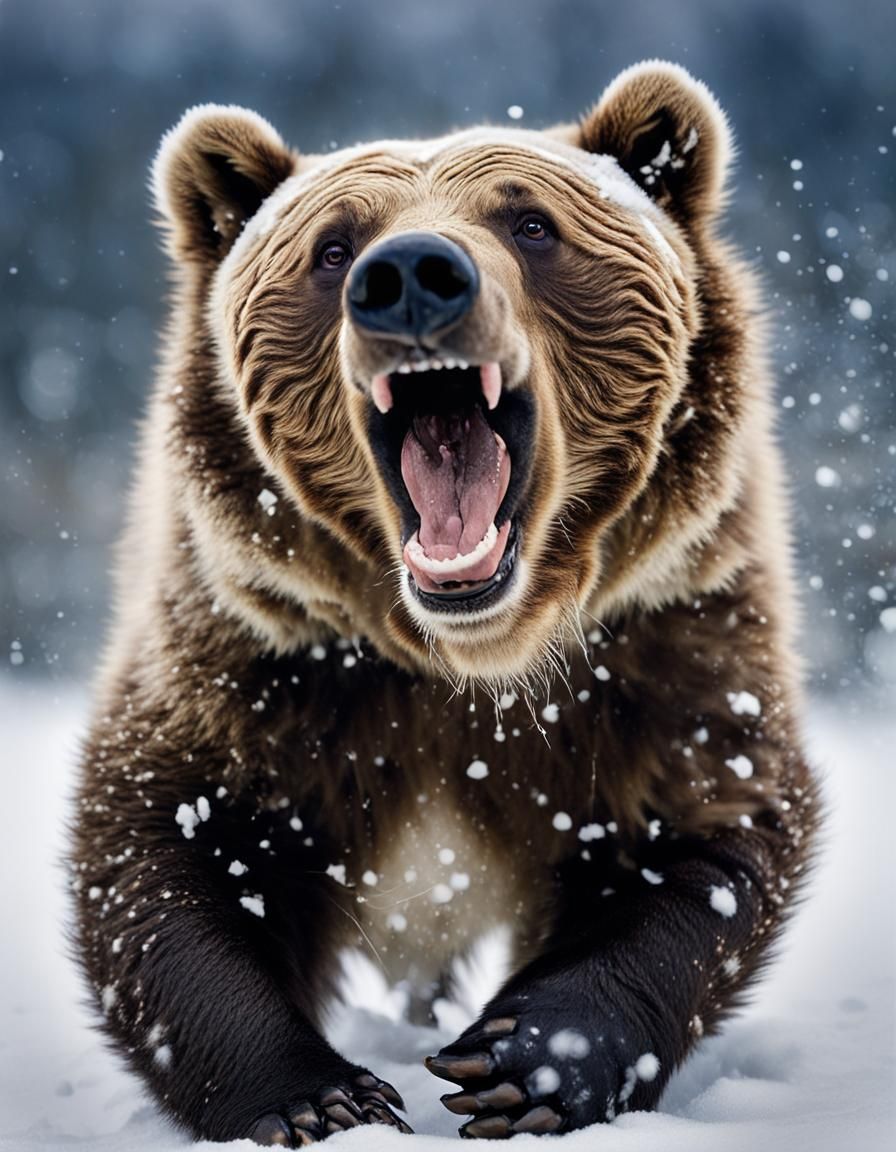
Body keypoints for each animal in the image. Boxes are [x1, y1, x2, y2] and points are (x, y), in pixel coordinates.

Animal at [71, 60, 820, 1145]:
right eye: (332, 245)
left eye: (531, 222)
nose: (411, 274)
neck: (464, 659)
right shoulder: (261, 658)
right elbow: (169, 842)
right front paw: (317, 1093)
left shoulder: (654, 641)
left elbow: (701, 830)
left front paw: (521, 1064)